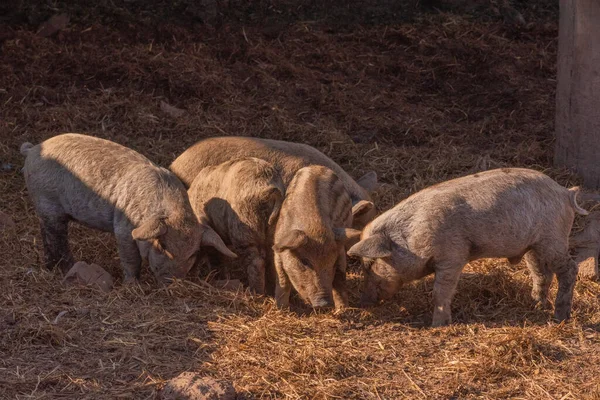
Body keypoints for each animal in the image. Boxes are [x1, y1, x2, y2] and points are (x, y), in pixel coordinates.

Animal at [19, 133, 234, 282]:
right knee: (55, 236)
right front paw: (132, 284)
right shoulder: (123, 228)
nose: (171, 281)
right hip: (46, 202)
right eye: (162, 246)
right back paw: (66, 267)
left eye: (193, 254)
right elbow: (131, 258)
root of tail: (33, 149)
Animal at [189, 159, 284, 294]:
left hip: (243, 227)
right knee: (272, 261)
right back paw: (270, 291)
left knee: (256, 262)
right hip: (274, 230)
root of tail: (269, 190)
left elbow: (216, 254)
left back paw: (255, 292)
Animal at [272, 166, 360, 310]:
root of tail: (316, 167)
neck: (315, 230)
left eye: (332, 262)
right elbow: (282, 281)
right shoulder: (278, 251)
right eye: (304, 262)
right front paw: (282, 309)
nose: (325, 304)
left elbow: (340, 279)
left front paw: (342, 310)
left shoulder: (339, 248)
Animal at [346, 167, 584, 326]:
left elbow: (439, 292)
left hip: (553, 239)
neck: (410, 239)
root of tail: (565, 192)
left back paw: (560, 317)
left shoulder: (453, 256)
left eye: (370, 264)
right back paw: (538, 306)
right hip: (533, 246)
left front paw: (437, 325)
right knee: (541, 273)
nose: (363, 302)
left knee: (569, 269)